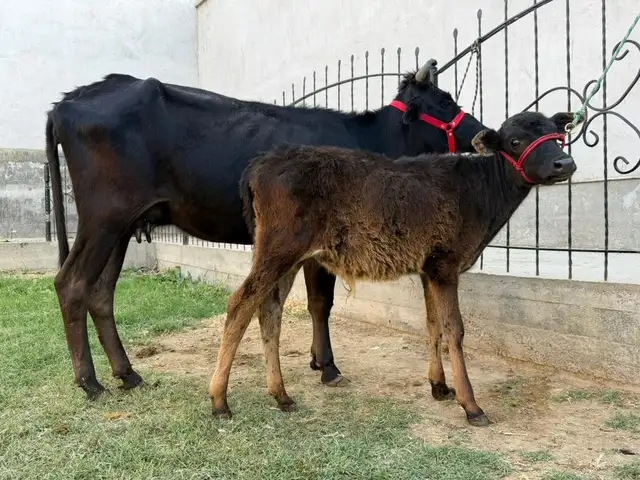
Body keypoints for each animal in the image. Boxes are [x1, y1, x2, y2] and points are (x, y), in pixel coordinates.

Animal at [45, 61, 487, 399]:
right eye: (446, 101)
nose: (484, 133)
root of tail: (69, 100)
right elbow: (321, 303)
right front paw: (328, 367)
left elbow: (316, 304)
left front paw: (316, 361)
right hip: (104, 217)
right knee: (72, 284)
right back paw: (90, 381)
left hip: (122, 225)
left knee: (101, 293)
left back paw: (127, 373)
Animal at [208, 110, 578, 427]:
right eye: (514, 141)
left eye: (557, 134)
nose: (565, 162)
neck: (481, 195)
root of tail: (259, 165)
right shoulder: (446, 262)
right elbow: (455, 330)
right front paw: (471, 405)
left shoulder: (429, 267)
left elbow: (432, 324)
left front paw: (439, 386)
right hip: (280, 245)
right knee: (240, 303)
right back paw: (220, 400)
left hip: (290, 254)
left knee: (269, 309)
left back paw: (281, 395)